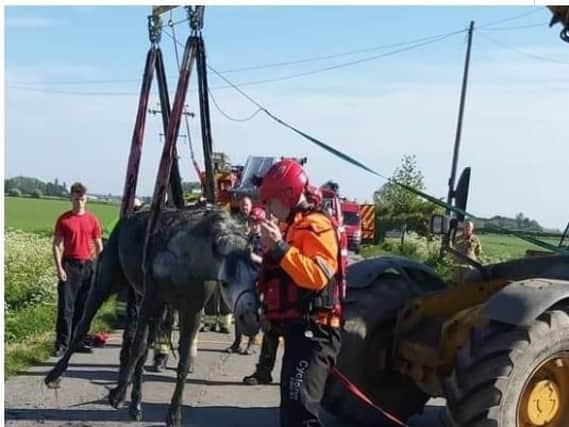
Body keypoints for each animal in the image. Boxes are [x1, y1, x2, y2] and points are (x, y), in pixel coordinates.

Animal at [45, 207, 260, 427]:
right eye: (224, 282)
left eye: (256, 277)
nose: (250, 320)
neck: (187, 259)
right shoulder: (150, 298)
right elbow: (137, 347)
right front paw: (117, 395)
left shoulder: (191, 311)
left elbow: (183, 361)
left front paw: (173, 414)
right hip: (107, 282)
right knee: (84, 325)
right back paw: (55, 375)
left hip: (157, 308)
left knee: (147, 345)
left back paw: (135, 405)